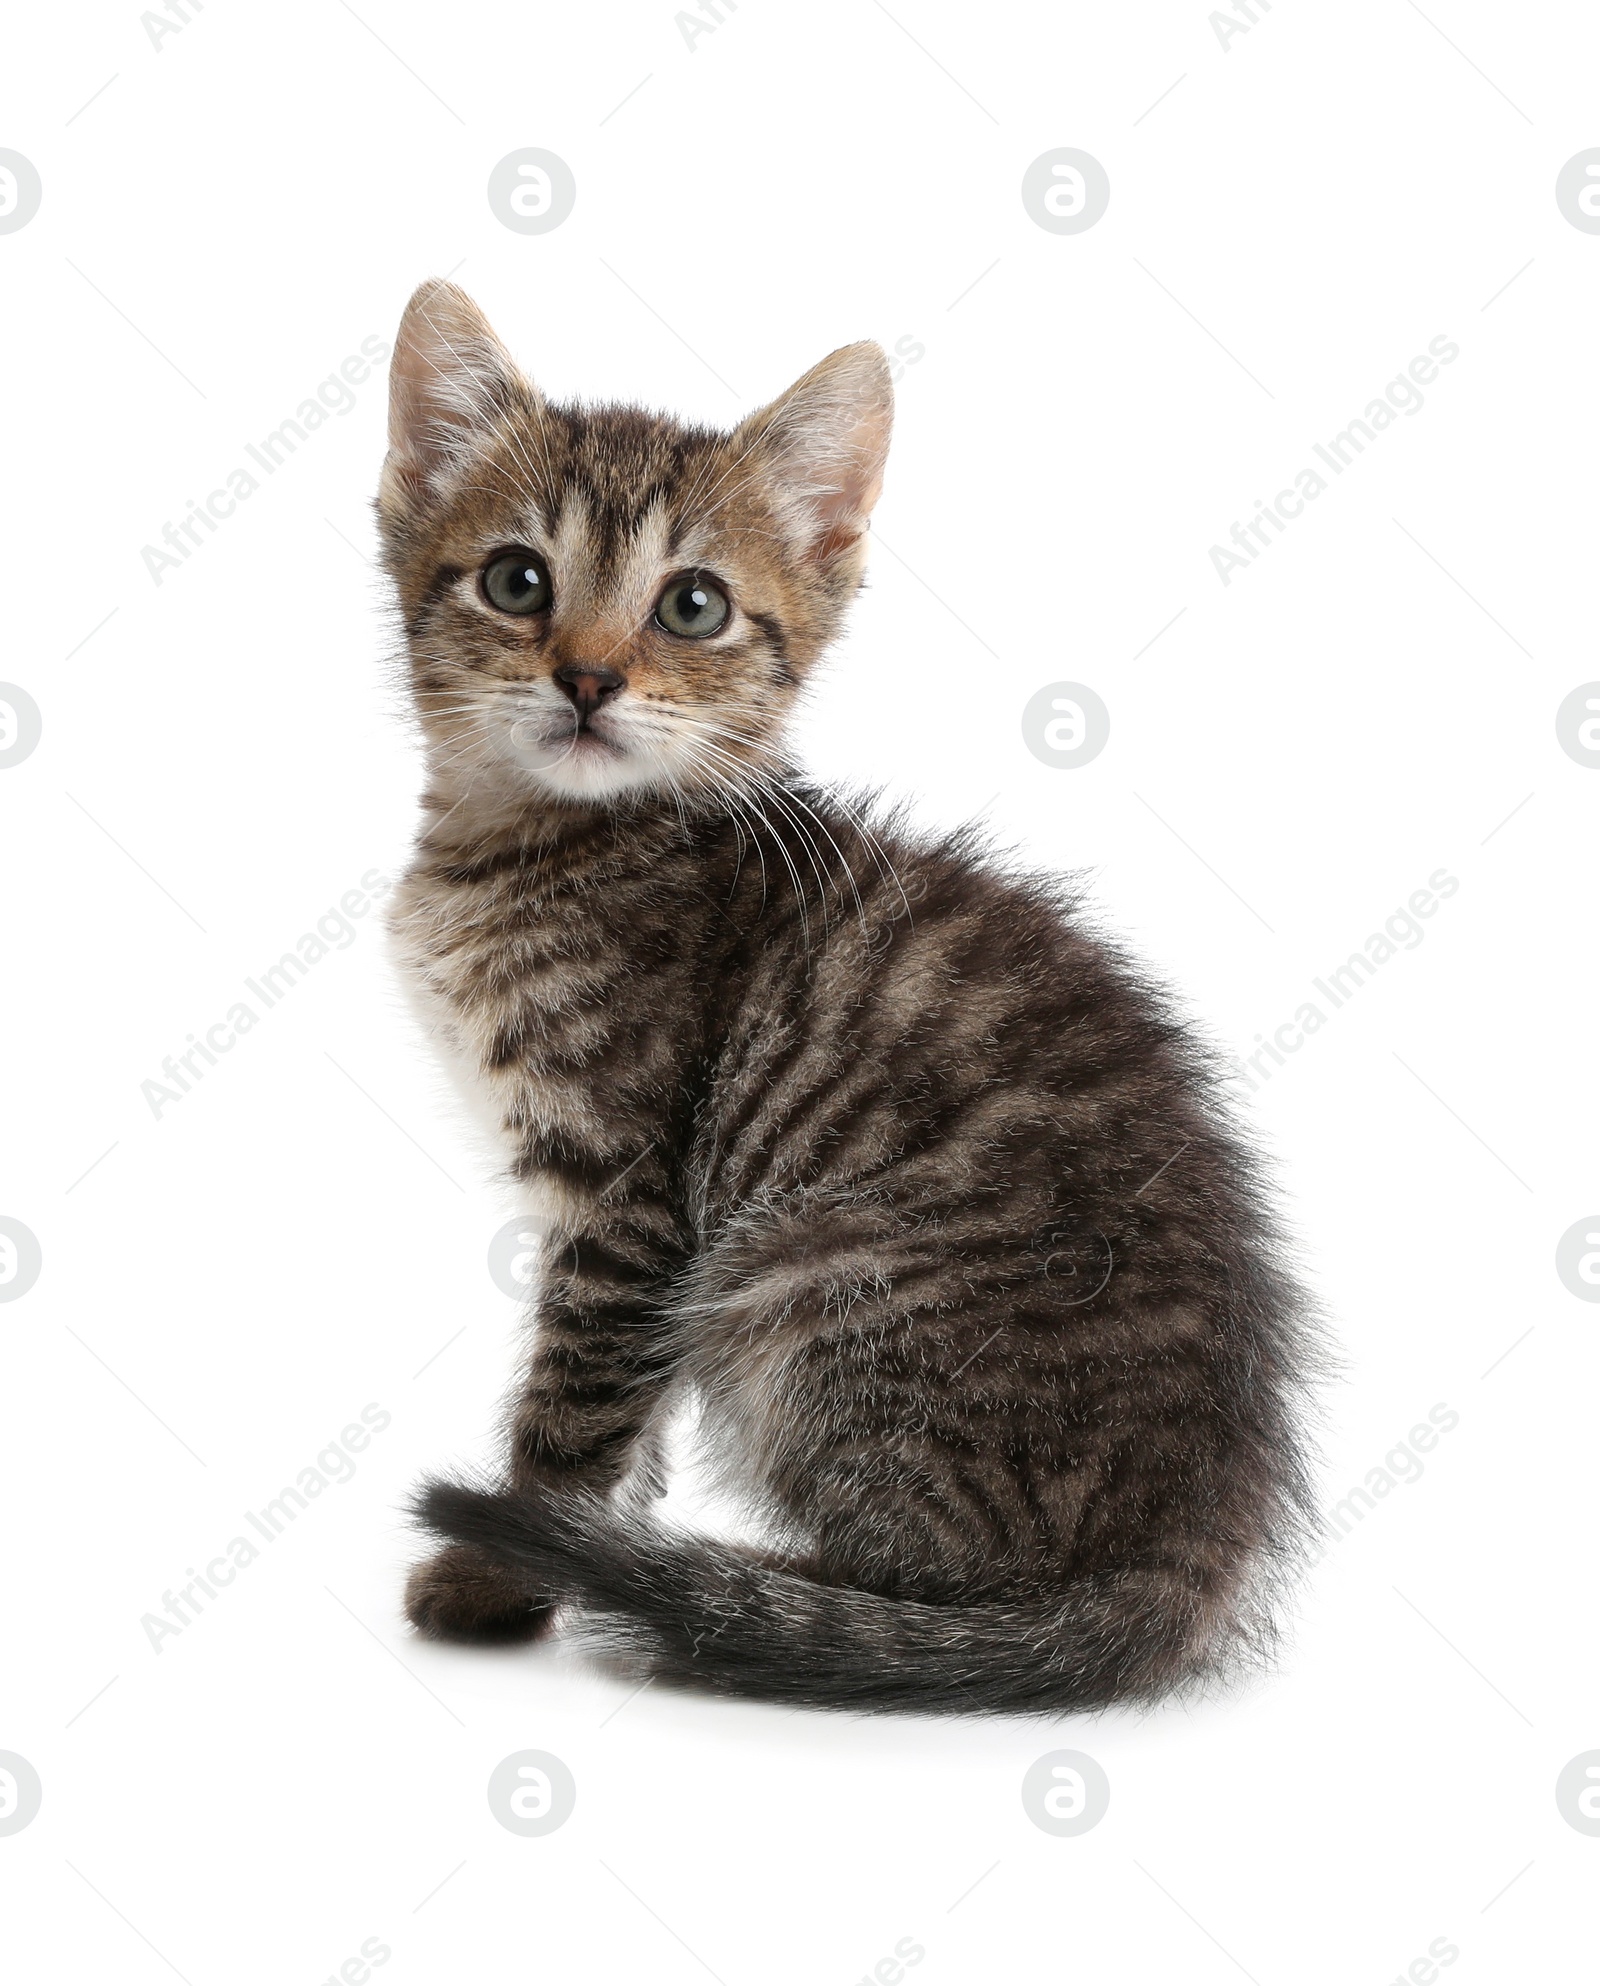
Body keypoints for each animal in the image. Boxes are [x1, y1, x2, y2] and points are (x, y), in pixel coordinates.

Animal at [383, 283, 1318, 1723]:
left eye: (693, 605)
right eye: (516, 580)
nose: (587, 677)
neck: (530, 841)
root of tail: (1192, 1541)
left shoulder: (627, 1192)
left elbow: (574, 1405)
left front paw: (506, 1568)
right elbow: (629, 1413)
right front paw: (590, 1539)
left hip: (801, 1280)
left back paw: (716, 1593)